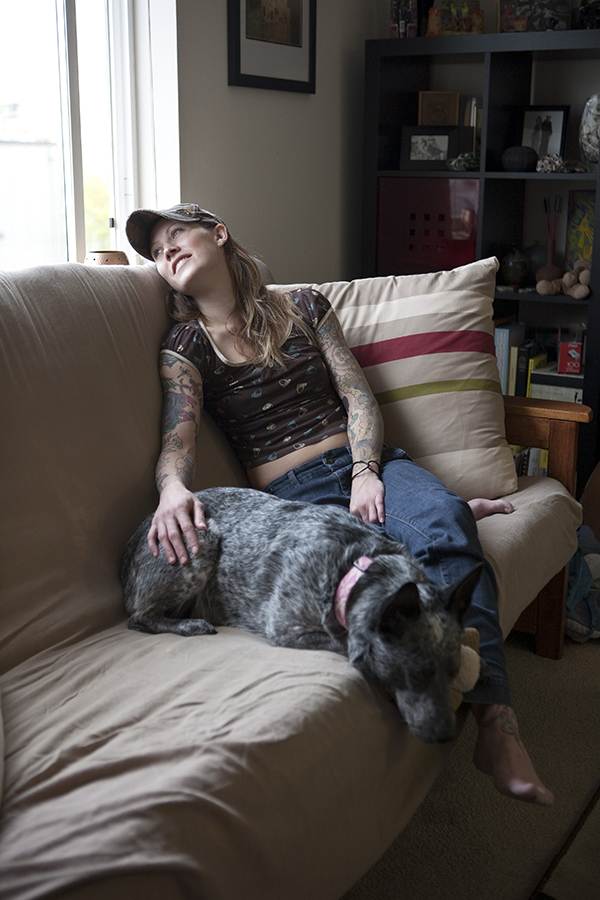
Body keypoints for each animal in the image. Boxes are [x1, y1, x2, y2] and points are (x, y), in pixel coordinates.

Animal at [120, 488, 482, 740]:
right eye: (418, 674)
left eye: (452, 671)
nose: (448, 737)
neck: (352, 568)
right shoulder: (288, 630)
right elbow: (351, 645)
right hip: (200, 543)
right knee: (138, 617)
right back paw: (190, 624)